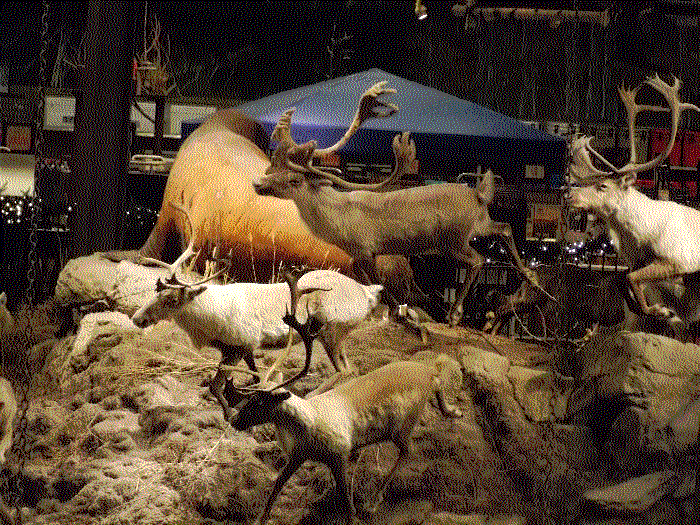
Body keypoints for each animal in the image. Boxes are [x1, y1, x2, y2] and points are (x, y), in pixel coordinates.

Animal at [131, 203, 382, 420]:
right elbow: (252, 377)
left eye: (172, 299)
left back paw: (311, 395)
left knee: (344, 369)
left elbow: (216, 385)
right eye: (157, 289)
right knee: (351, 368)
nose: (136, 318)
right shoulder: (240, 349)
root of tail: (367, 292)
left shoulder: (240, 346)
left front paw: (230, 413)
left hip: (330, 331)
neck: (209, 317)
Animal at [226, 276, 464, 520]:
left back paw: (374, 502)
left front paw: (355, 513)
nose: (234, 420)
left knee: (409, 451)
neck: (308, 424)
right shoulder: (297, 455)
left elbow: (346, 500)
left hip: (402, 426)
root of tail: (427, 373)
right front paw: (261, 518)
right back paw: (453, 411)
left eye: (259, 401)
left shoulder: (339, 455)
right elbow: (277, 485)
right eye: (250, 397)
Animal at [568, 72, 700, 332]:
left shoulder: (679, 261)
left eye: (603, 186)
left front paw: (664, 312)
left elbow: (630, 278)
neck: (642, 235)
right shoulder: (639, 263)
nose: (569, 194)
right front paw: (658, 311)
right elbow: (624, 280)